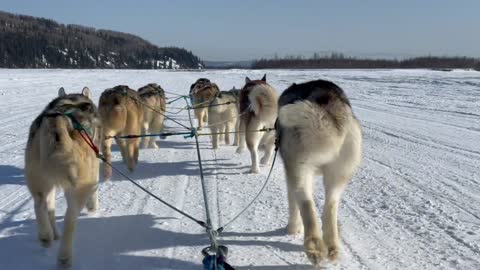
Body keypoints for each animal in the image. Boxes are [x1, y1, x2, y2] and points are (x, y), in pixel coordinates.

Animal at [25, 86, 101, 266]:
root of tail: (57, 119)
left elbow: (51, 209)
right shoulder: (94, 170)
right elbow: (95, 193)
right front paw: (93, 208)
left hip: (39, 180)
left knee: (40, 204)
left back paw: (47, 236)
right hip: (79, 188)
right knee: (70, 218)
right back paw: (64, 257)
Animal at [276, 79, 362, 264]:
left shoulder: (289, 172)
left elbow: (293, 204)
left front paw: (292, 229)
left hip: (299, 172)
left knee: (307, 205)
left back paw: (313, 247)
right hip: (337, 177)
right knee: (329, 207)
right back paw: (331, 245)